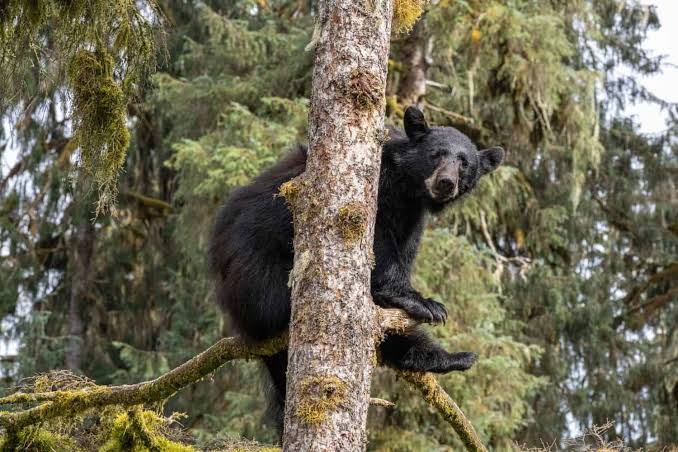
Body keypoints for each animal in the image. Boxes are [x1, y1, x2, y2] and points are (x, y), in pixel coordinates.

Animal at [209, 106, 504, 428]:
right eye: (436, 154)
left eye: (464, 163)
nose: (446, 183)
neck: (407, 189)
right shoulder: (378, 189)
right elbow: (379, 244)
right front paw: (418, 300)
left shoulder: (412, 216)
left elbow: (405, 251)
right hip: (260, 276)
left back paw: (453, 357)